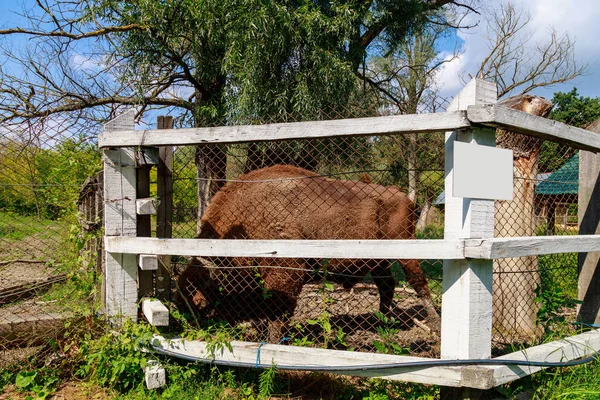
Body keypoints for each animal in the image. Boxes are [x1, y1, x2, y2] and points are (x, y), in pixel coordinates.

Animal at [179, 164, 440, 342]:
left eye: (200, 303)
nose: (193, 329)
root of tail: (403, 196)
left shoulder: (286, 273)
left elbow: (278, 312)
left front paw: (273, 341)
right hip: (378, 261)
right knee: (387, 285)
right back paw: (380, 322)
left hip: (405, 248)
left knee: (418, 282)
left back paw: (435, 325)